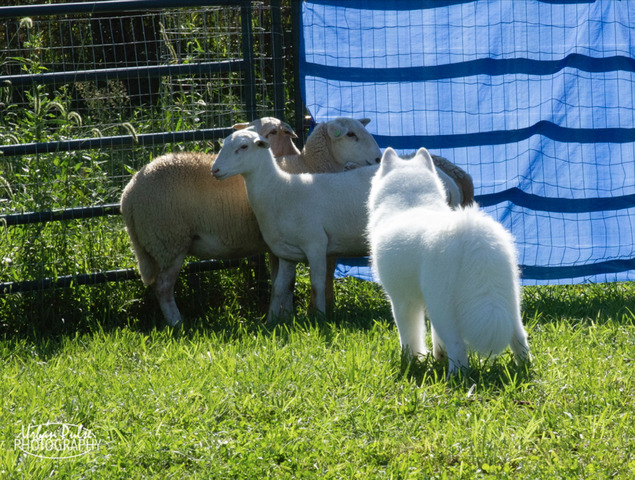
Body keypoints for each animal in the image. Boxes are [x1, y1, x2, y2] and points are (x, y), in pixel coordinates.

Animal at [121, 116, 380, 326]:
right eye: (351, 135)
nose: (378, 157)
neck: (307, 165)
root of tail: (129, 193)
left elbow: (283, 283)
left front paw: (283, 316)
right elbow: (310, 281)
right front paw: (303, 313)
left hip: (160, 243)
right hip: (169, 240)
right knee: (163, 287)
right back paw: (177, 323)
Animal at [366, 146, 528, 376]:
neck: (409, 202)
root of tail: (471, 234)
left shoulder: (402, 301)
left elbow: (409, 335)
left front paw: (411, 361)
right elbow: (434, 336)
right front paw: (437, 356)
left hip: (442, 306)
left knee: (457, 345)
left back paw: (455, 376)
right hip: (508, 298)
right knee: (519, 337)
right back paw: (524, 367)